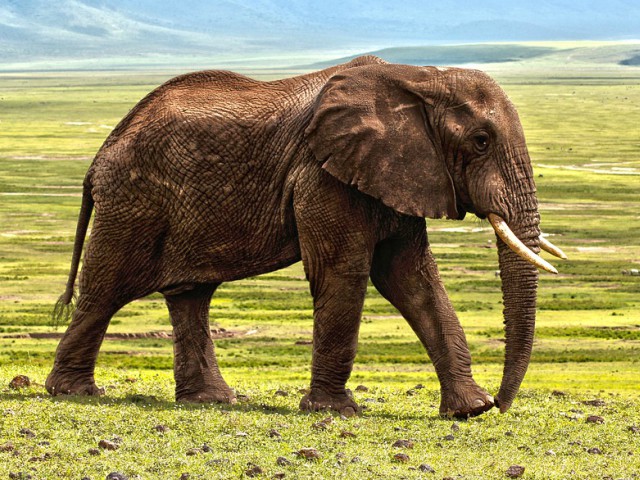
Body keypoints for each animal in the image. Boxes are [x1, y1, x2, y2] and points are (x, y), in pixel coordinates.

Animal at [46, 55, 566, 418]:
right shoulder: (323, 175)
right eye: (480, 141)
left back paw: (210, 401)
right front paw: (336, 412)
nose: (502, 404)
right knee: (106, 288)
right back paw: (74, 393)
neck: (419, 77)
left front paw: (469, 411)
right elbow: (344, 273)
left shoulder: (397, 173)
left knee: (190, 295)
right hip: (132, 200)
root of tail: (101, 153)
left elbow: (412, 279)